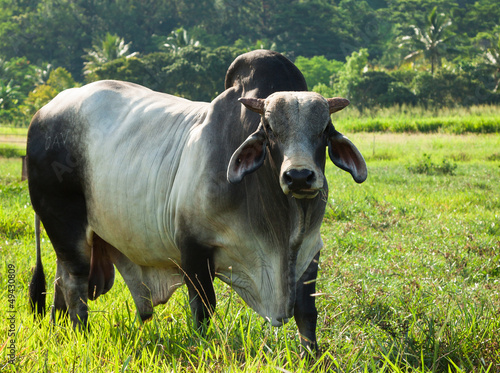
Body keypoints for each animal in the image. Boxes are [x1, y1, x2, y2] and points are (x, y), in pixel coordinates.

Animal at [28, 48, 368, 352]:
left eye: (324, 130)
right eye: (269, 129)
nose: (298, 177)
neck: (282, 229)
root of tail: (45, 110)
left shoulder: (309, 251)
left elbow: (306, 314)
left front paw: (312, 356)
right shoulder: (192, 249)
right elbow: (203, 309)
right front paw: (203, 347)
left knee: (60, 279)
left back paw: (60, 328)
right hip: (64, 224)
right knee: (73, 282)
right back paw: (80, 334)